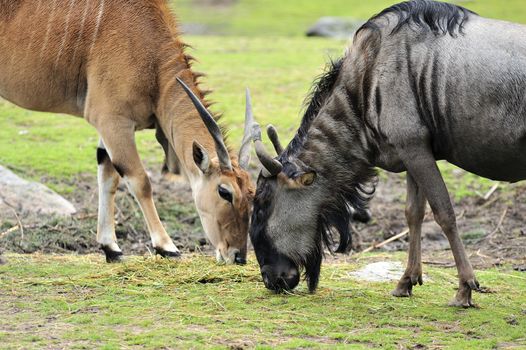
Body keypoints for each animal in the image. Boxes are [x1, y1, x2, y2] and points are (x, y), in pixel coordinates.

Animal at [0, 0, 256, 262]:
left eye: (252, 194)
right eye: (224, 192)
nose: (238, 256)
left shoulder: (108, 126)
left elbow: (108, 175)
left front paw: (110, 247)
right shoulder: (113, 120)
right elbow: (140, 181)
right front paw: (166, 246)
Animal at [250, 0, 526, 306]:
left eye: (260, 205)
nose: (269, 279)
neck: (366, 82)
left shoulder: (415, 149)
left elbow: (444, 213)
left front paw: (465, 288)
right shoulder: (412, 151)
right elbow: (413, 213)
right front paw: (407, 281)